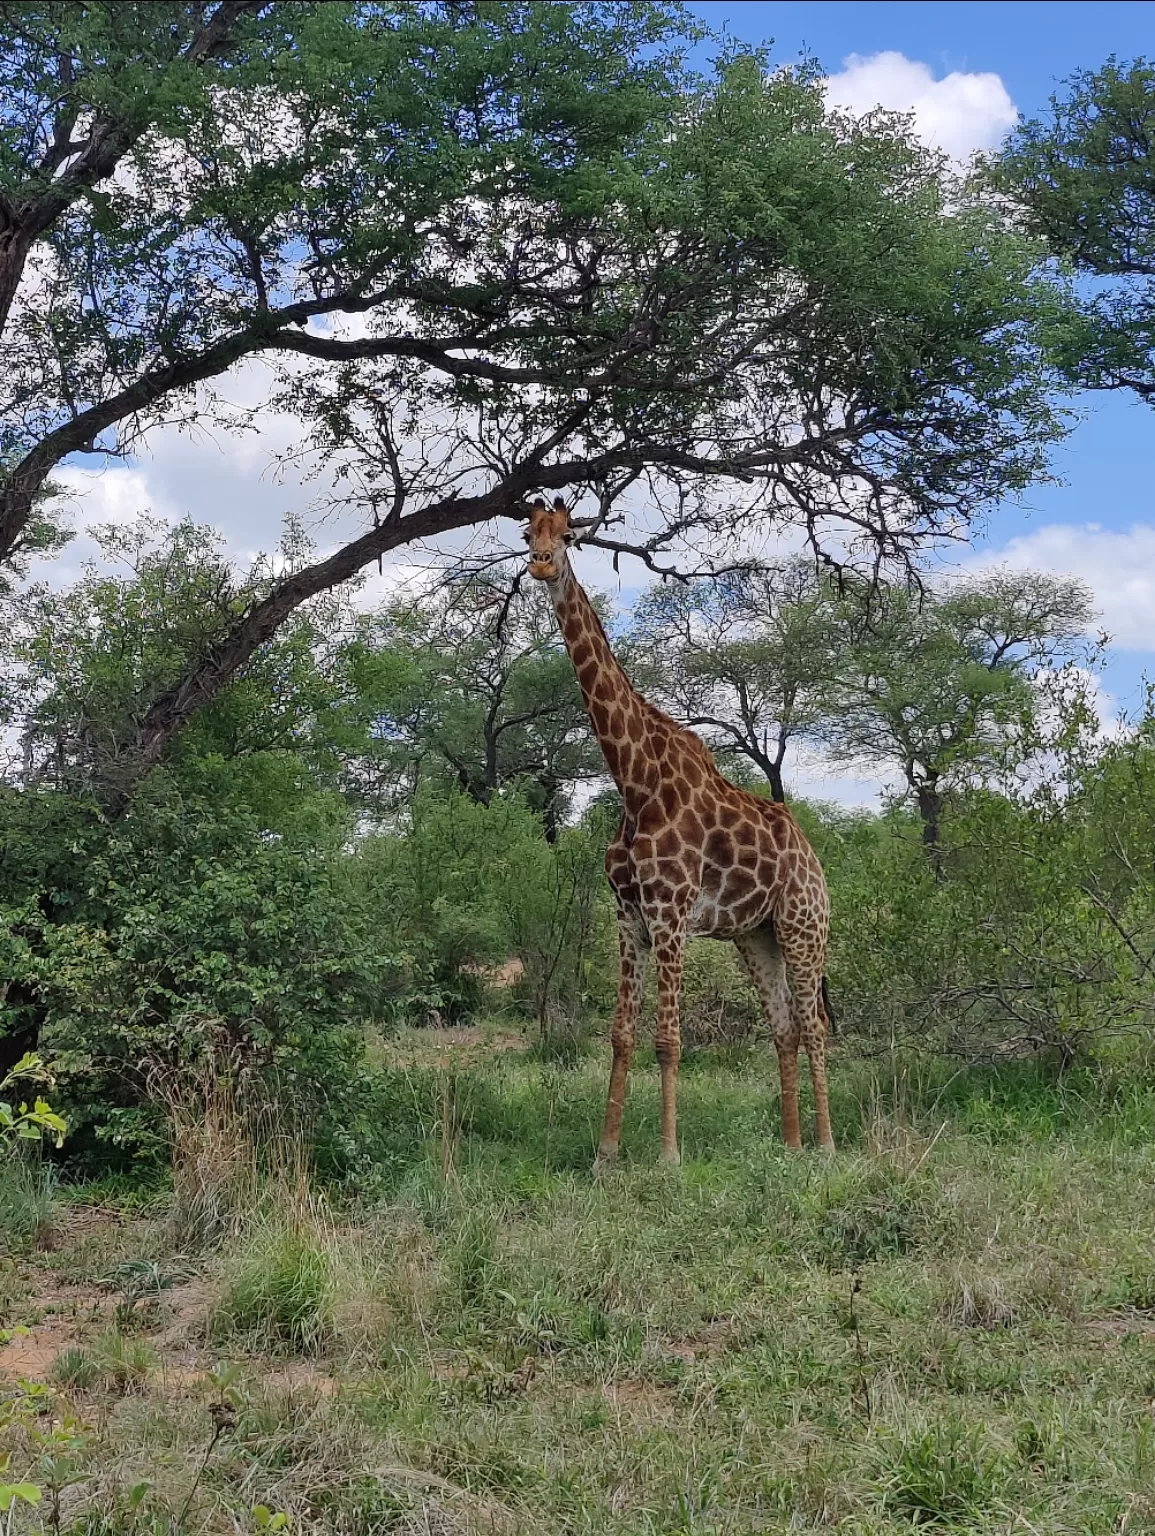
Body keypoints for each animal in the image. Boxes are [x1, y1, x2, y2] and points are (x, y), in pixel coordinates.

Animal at [525, 500, 841, 1161]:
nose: (541, 565)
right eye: (528, 532)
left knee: (815, 1022)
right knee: (784, 1026)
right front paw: (606, 1154)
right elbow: (621, 1034)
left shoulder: (671, 913)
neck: (635, 778)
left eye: (568, 535)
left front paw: (668, 1155)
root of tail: (813, 858)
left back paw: (825, 1147)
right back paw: (791, 1145)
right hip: (756, 935)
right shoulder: (629, 919)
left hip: (804, 926)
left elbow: (668, 1039)